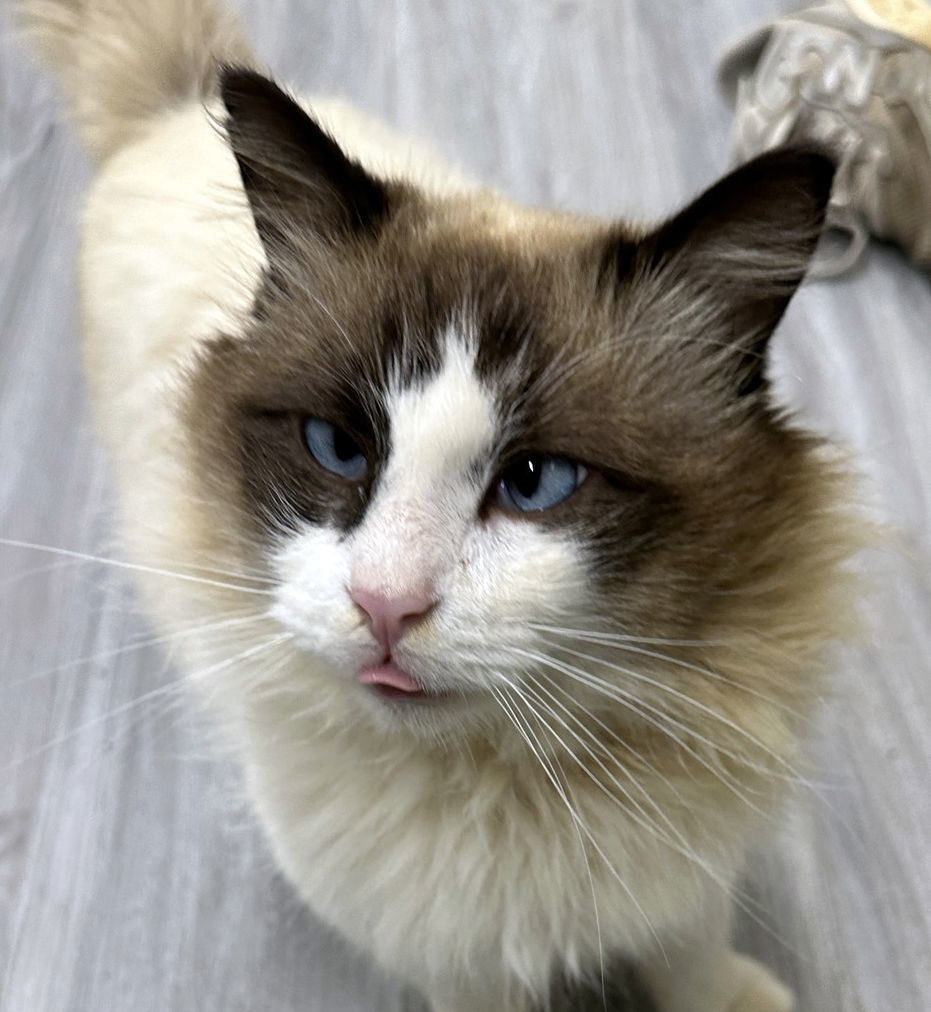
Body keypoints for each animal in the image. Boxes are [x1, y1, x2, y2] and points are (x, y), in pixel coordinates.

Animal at [14, 1, 862, 1011]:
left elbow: (691, 946)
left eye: (535, 481)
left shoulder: (680, 866)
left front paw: (730, 997)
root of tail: (174, 108)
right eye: (337, 448)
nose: (385, 606)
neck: (518, 783)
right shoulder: (454, 959)